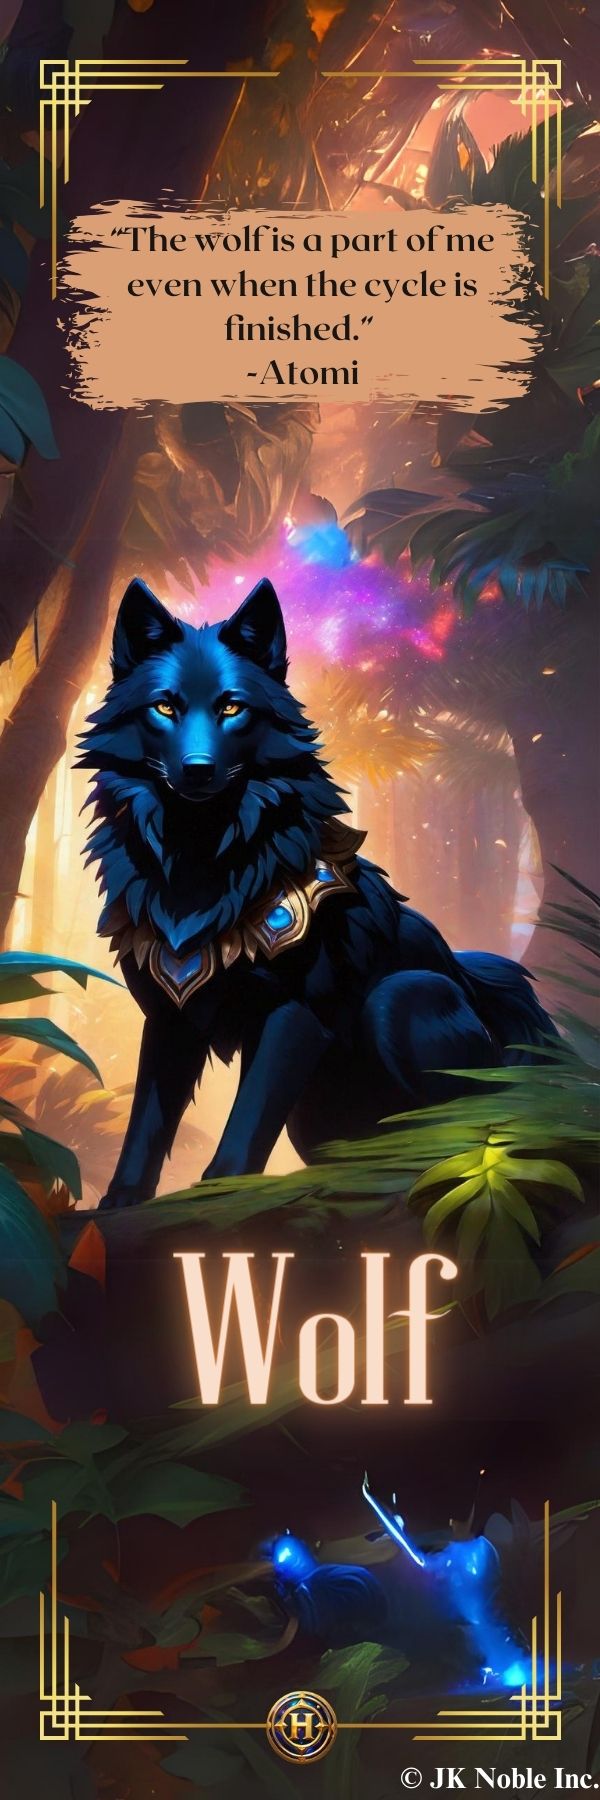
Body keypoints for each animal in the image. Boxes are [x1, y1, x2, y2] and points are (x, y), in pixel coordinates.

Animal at [78, 576, 555, 1208]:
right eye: (164, 707)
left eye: (232, 707)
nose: (199, 769)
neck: (201, 862)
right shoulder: (170, 1017)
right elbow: (146, 1125)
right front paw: (116, 1205)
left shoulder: (293, 1014)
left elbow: (246, 1124)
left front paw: (218, 1198)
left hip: (402, 999)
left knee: (464, 1129)